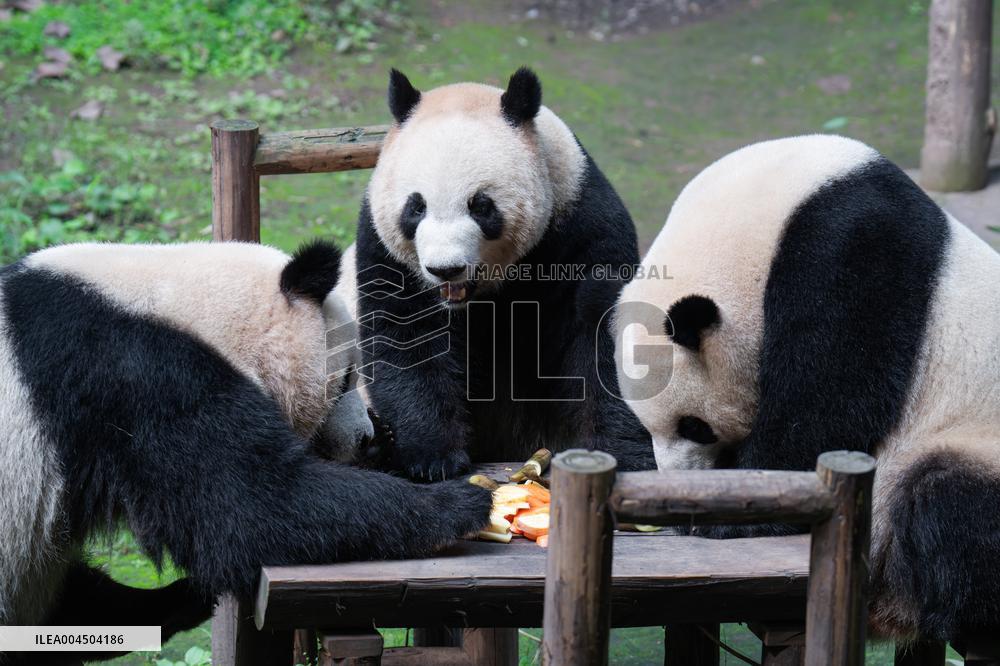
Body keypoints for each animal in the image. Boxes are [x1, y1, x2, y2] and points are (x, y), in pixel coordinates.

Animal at [0, 240, 491, 661]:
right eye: (348, 377)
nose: (365, 437)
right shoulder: (131, 376)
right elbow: (249, 507)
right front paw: (460, 502)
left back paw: (176, 603)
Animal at [347, 67, 655, 480]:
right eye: (416, 207)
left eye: (481, 206)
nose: (445, 269)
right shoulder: (385, 250)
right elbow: (406, 337)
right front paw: (433, 457)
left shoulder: (580, 223)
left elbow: (602, 334)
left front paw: (623, 455)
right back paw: (378, 446)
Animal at [614, 134, 1000, 642]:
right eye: (649, 428)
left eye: (694, 426)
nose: (680, 478)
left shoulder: (852, 250)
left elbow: (829, 404)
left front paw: (730, 510)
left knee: (950, 501)